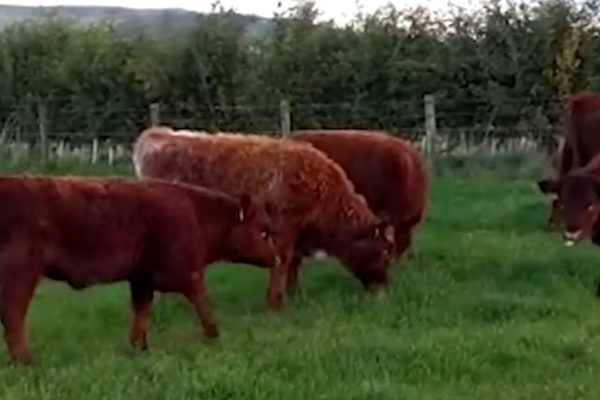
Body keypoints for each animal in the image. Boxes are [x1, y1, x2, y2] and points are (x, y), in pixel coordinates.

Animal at [0, 174, 278, 362]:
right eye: (263, 231)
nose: (277, 258)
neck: (197, 215)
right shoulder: (186, 272)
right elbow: (202, 301)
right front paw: (213, 335)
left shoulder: (142, 277)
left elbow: (141, 310)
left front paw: (139, 347)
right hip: (21, 272)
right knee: (14, 315)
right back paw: (25, 361)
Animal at [134, 126, 396, 310]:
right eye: (384, 251)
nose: (384, 289)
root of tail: (157, 134)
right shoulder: (284, 227)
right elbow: (282, 261)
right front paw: (276, 303)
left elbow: (293, 263)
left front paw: (293, 294)